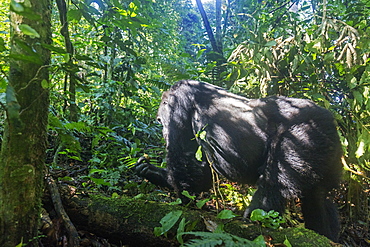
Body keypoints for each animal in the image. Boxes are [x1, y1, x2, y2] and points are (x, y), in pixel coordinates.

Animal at [135, 79, 342, 241]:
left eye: (161, 120)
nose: (163, 131)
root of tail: (331, 120)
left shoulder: (179, 101)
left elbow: (186, 161)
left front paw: (181, 198)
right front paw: (152, 172)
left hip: (306, 133)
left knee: (274, 185)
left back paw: (253, 224)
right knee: (318, 197)